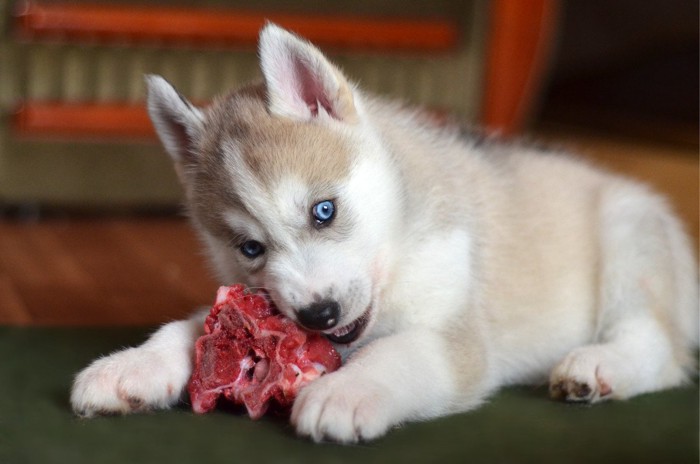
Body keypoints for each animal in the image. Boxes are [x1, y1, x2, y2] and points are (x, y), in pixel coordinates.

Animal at [69, 24, 696, 442]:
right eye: (250, 248)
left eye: (323, 211)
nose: (318, 315)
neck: (397, 252)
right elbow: (194, 325)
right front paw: (130, 367)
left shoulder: (456, 338)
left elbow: (398, 352)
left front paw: (343, 393)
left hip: (629, 238)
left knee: (660, 347)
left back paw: (597, 368)